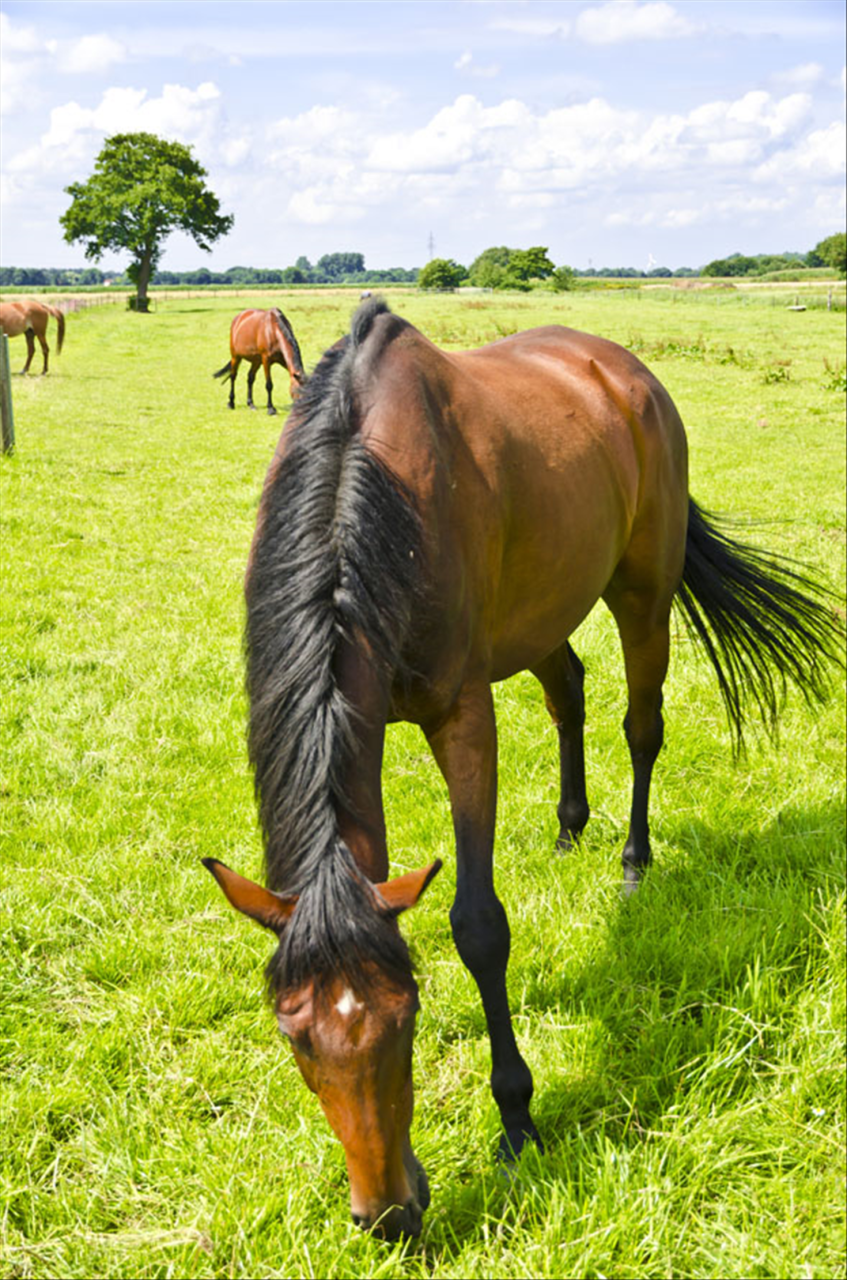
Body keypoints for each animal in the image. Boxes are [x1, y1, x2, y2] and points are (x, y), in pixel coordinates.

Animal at [204, 296, 844, 1239]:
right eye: (294, 1035)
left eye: (407, 1017)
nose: (387, 1217)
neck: (372, 496)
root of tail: (626, 371)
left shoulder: (463, 717)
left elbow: (476, 924)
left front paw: (515, 1118)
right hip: (544, 612)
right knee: (569, 690)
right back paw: (570, 830)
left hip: (641, 593)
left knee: (641, 726)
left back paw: (631, 862)